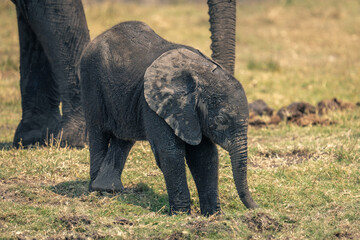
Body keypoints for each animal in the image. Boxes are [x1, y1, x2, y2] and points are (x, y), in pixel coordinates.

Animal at [79, 21, 258, 216]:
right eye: (220, 120)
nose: (257, 208)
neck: (200, 73)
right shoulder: (154, 104)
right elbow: (171, 152)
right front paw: (181, 214)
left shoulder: (192, 114)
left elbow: (205, 155)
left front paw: (213, 215)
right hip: (91, 81)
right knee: (99, 133)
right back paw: (99, 191)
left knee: (123, 138)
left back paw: (110, 189)